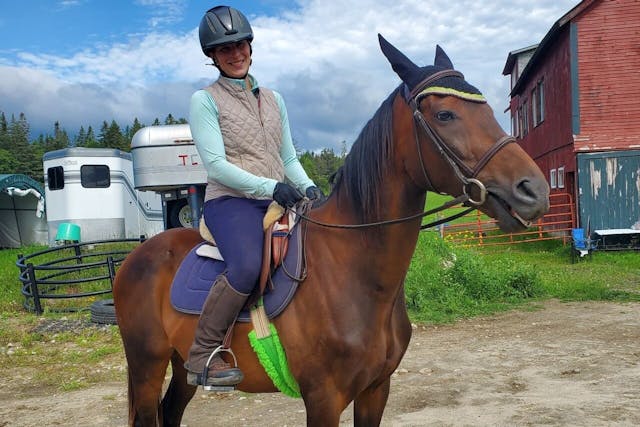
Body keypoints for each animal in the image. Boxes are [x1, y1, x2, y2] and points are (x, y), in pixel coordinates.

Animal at [111, 35, 552, 426]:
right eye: (445, 115)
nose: (534, 190)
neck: (352, 271)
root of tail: (135, 258)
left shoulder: (376, 390)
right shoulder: (324, 398)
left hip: (182, 366)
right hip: (147, 365)